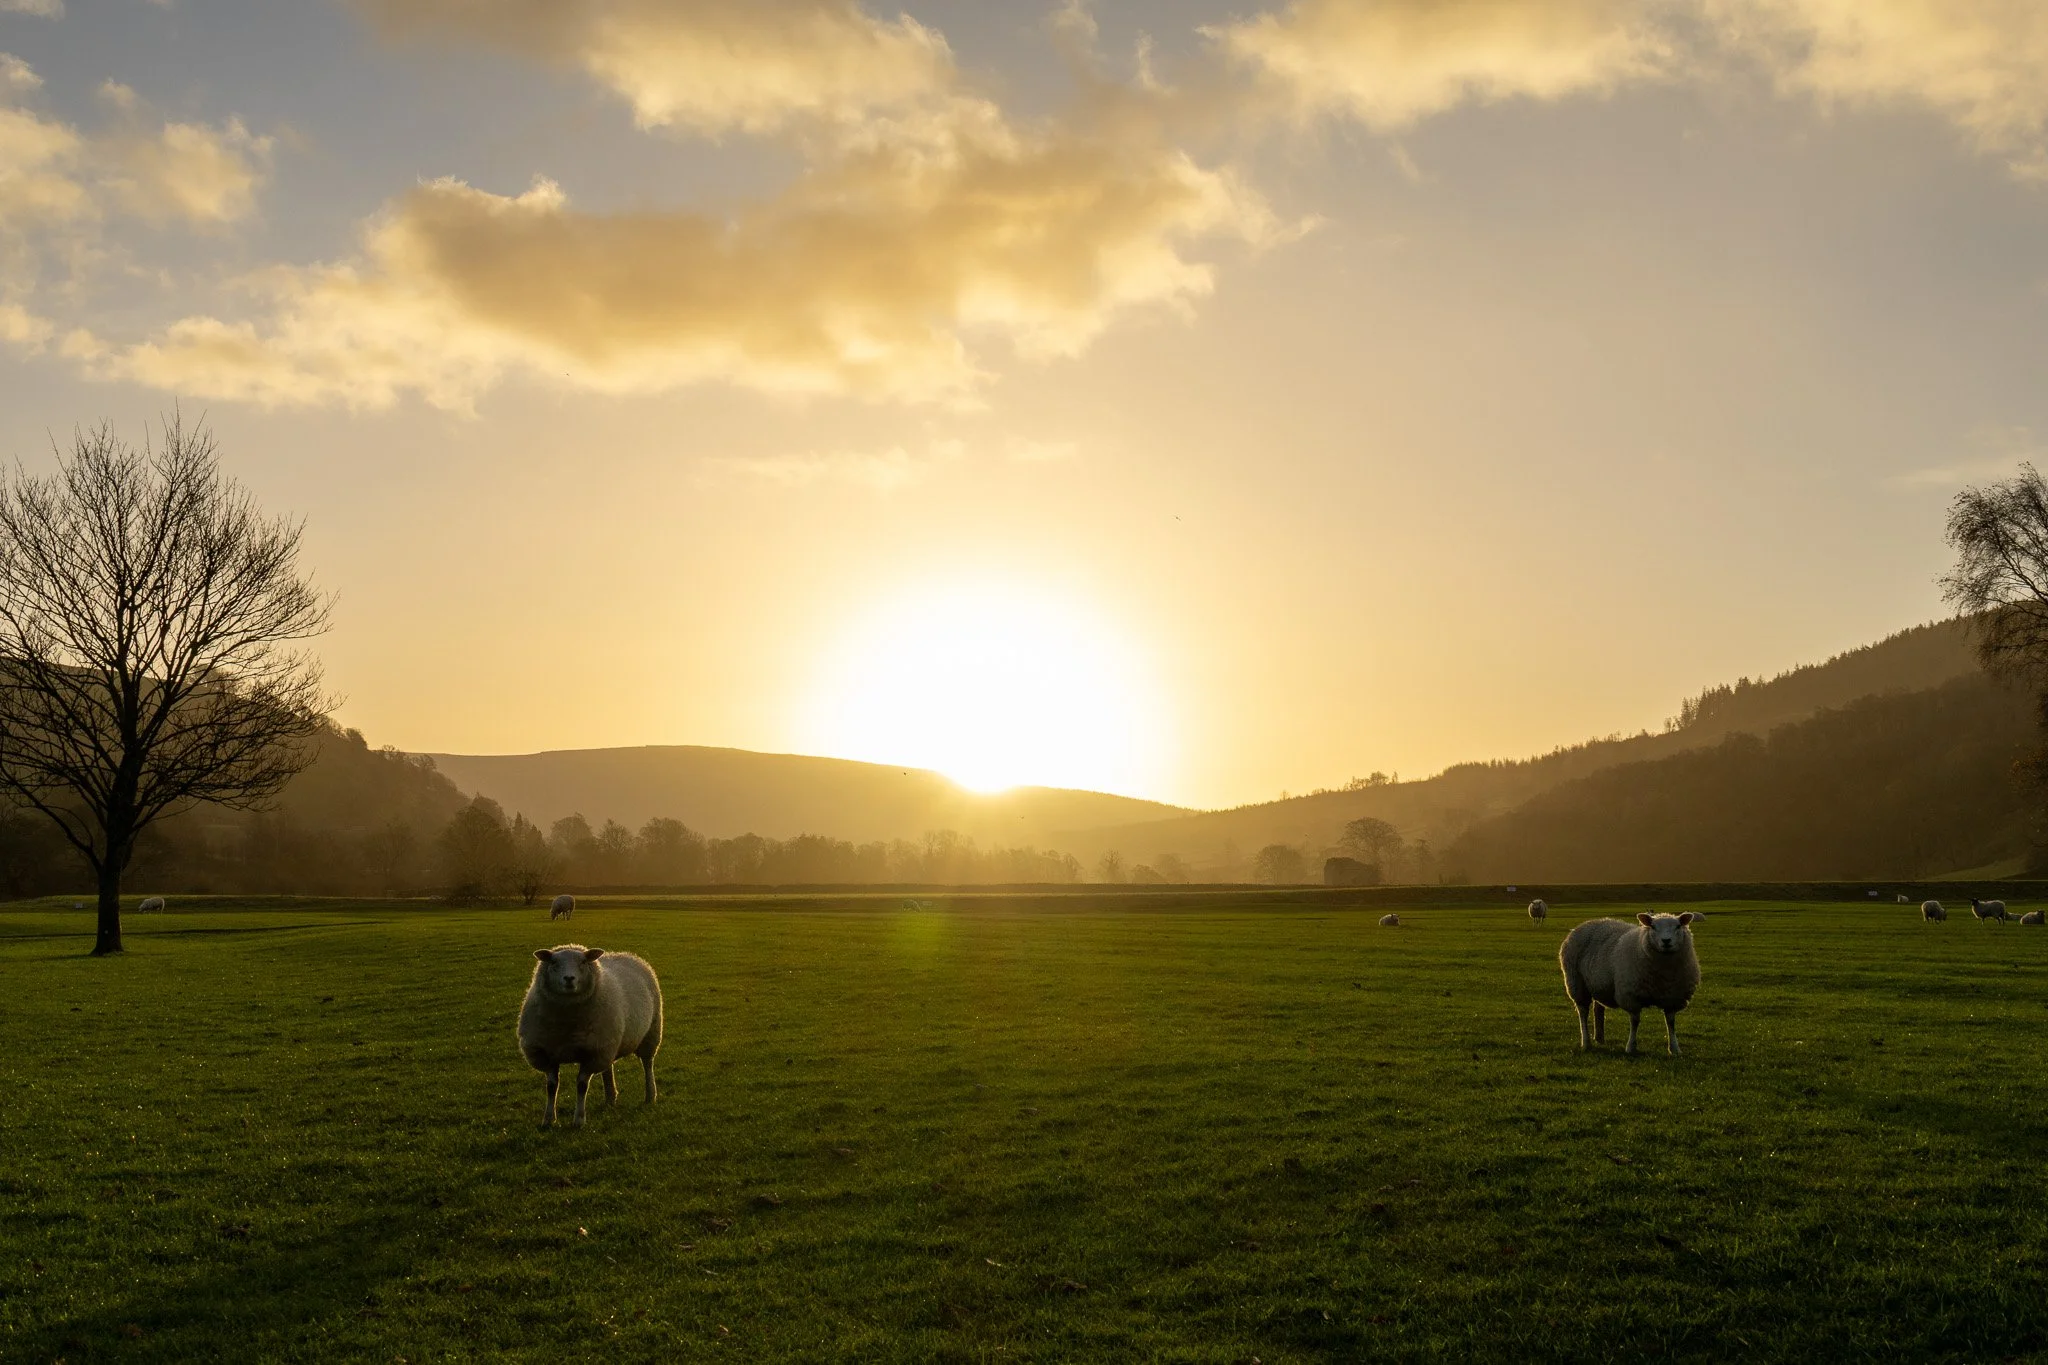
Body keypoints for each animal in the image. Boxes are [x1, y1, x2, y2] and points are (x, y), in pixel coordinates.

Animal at [518, 944, 662, 1128]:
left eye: (583, 962)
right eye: (553, 962)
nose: (569, 978)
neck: (567, 1024)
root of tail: (626, 954)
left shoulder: (591, 1054)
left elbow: (581, 1085)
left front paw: (579, 1120)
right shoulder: (546, 1053)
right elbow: (551, 1086)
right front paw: (548, 1119)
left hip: (650, 1033)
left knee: (647, 1064)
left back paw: (650, 1095)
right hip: (607, 1043)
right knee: (608, 1068)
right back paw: (610, 1098)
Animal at [1558, 913, 1700, 1056]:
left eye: (1678, 926)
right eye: (1653, 927)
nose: (1666, 941)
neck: (1662, 976)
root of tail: (1589, 922)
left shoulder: (1673, 998)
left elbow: (1671, 1023)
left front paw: (1675, 1048)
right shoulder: (1631, 997)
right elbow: (1635, 1022)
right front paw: (1631, 1047)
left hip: (1599, 984)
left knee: (1598, 1008)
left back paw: (1599, 1038)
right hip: (1577, 983)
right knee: (1582, 1012)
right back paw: (1586, 1043)